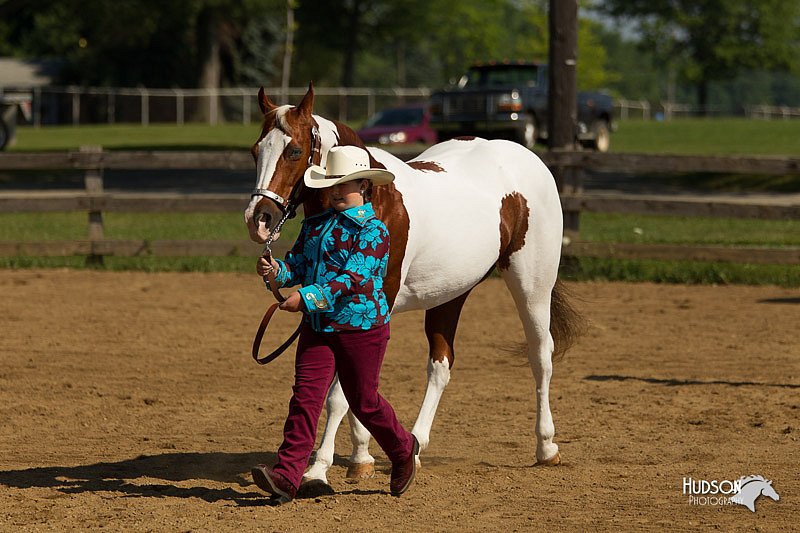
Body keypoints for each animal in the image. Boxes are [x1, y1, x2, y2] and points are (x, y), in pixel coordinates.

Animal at [242, 83, 580, 486]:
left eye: (293, 150)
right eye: (255, 150)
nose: (259, 220)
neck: (373, 201)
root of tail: (529, 160)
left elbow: (341, 394)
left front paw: (319, 467)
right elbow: (354, 388)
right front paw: (361, 458)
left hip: (532, 286)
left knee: (541, 356)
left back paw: (546, 447)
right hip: (450, 293)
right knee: (441, 365)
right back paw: (415, 447)